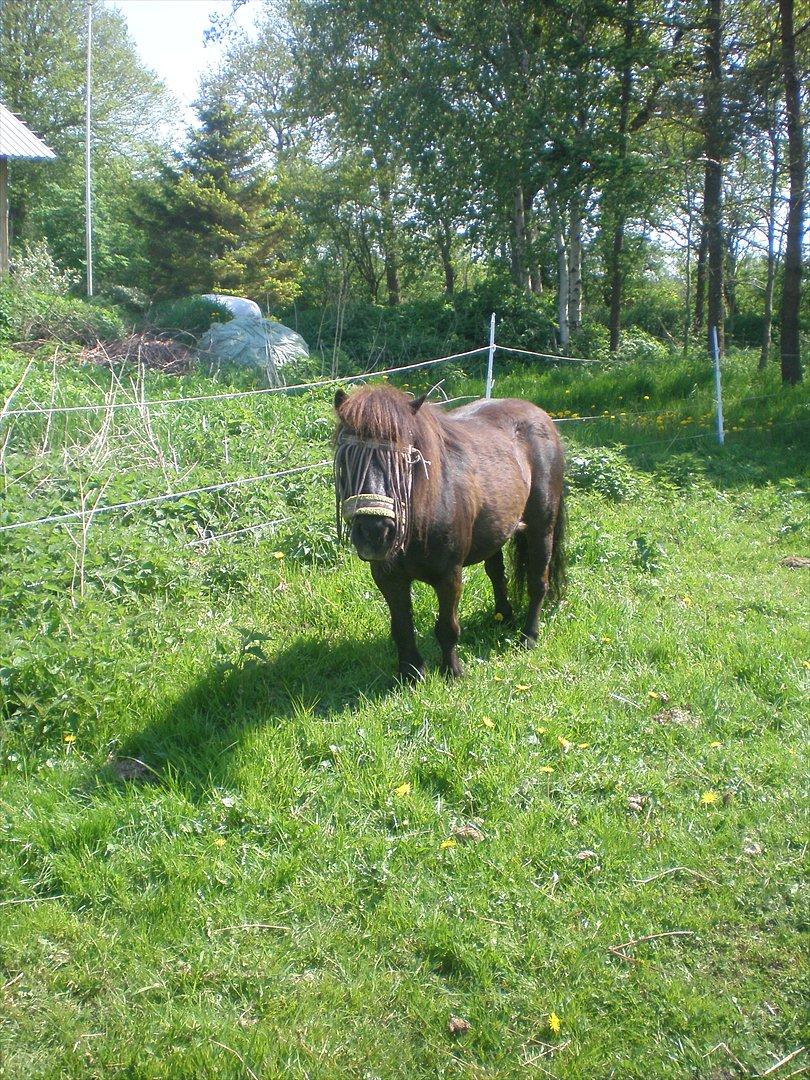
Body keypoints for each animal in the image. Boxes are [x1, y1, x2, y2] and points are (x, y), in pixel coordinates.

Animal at [333, 383, 566, 680]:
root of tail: (540, 414)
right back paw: (503, 616)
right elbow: (401, 626)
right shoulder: (388, 577)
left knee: (538, 582)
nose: (375, 533)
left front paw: (452, 673)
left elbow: (447, 627)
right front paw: (411, 673)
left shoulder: (449, 575)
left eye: (406, 459)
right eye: (346, 456)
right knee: (496, 573)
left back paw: (529, 636)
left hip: (542, 528)